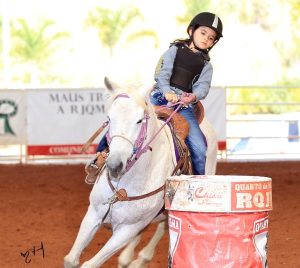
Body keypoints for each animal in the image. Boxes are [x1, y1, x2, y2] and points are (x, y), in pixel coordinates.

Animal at [63, 78, 218, 266]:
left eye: (139, 120)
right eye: (109, 118)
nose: (114, 165)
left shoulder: (128, 229)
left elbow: (90, 264)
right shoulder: (93, 213)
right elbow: (71, 260)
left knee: (163, 226)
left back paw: (140, 259)